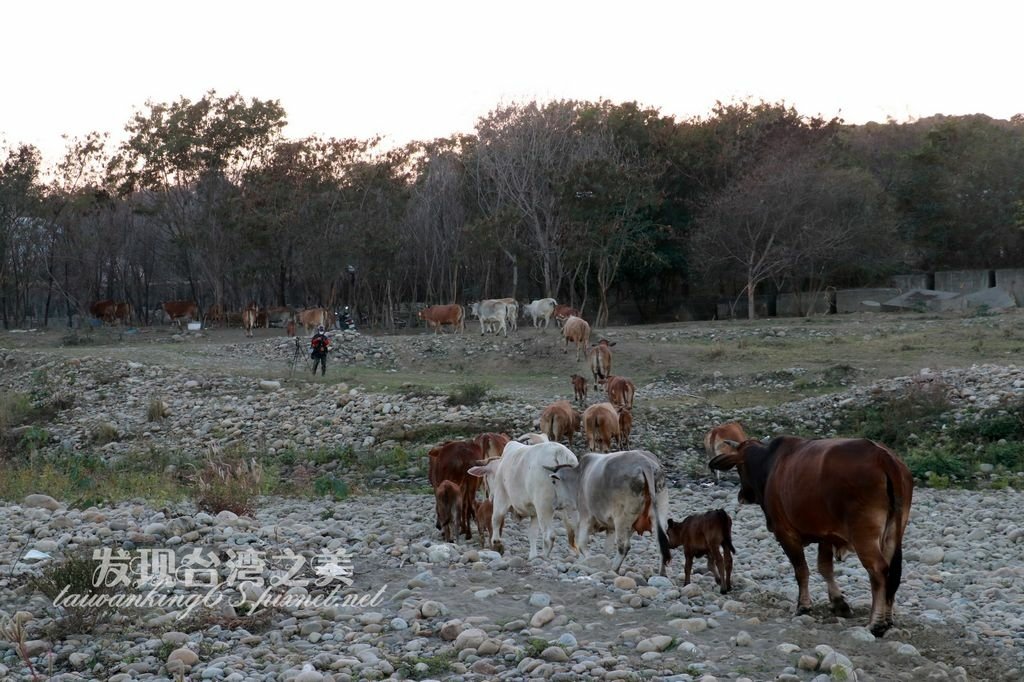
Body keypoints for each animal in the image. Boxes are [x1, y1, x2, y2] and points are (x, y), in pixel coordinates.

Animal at [712, 436, 913, 638]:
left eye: (739, 468)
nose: (742, 496)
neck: (769, 463)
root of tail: (882, 456)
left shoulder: (785, 533)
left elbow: (801, 570)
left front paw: (804, 606)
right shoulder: (826, 535)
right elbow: (825, 568)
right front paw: (839, 603)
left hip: (864, 535)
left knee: (878, 571)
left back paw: (876, 624)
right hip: (893, 533)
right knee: (892, 573)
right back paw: (887, 619)